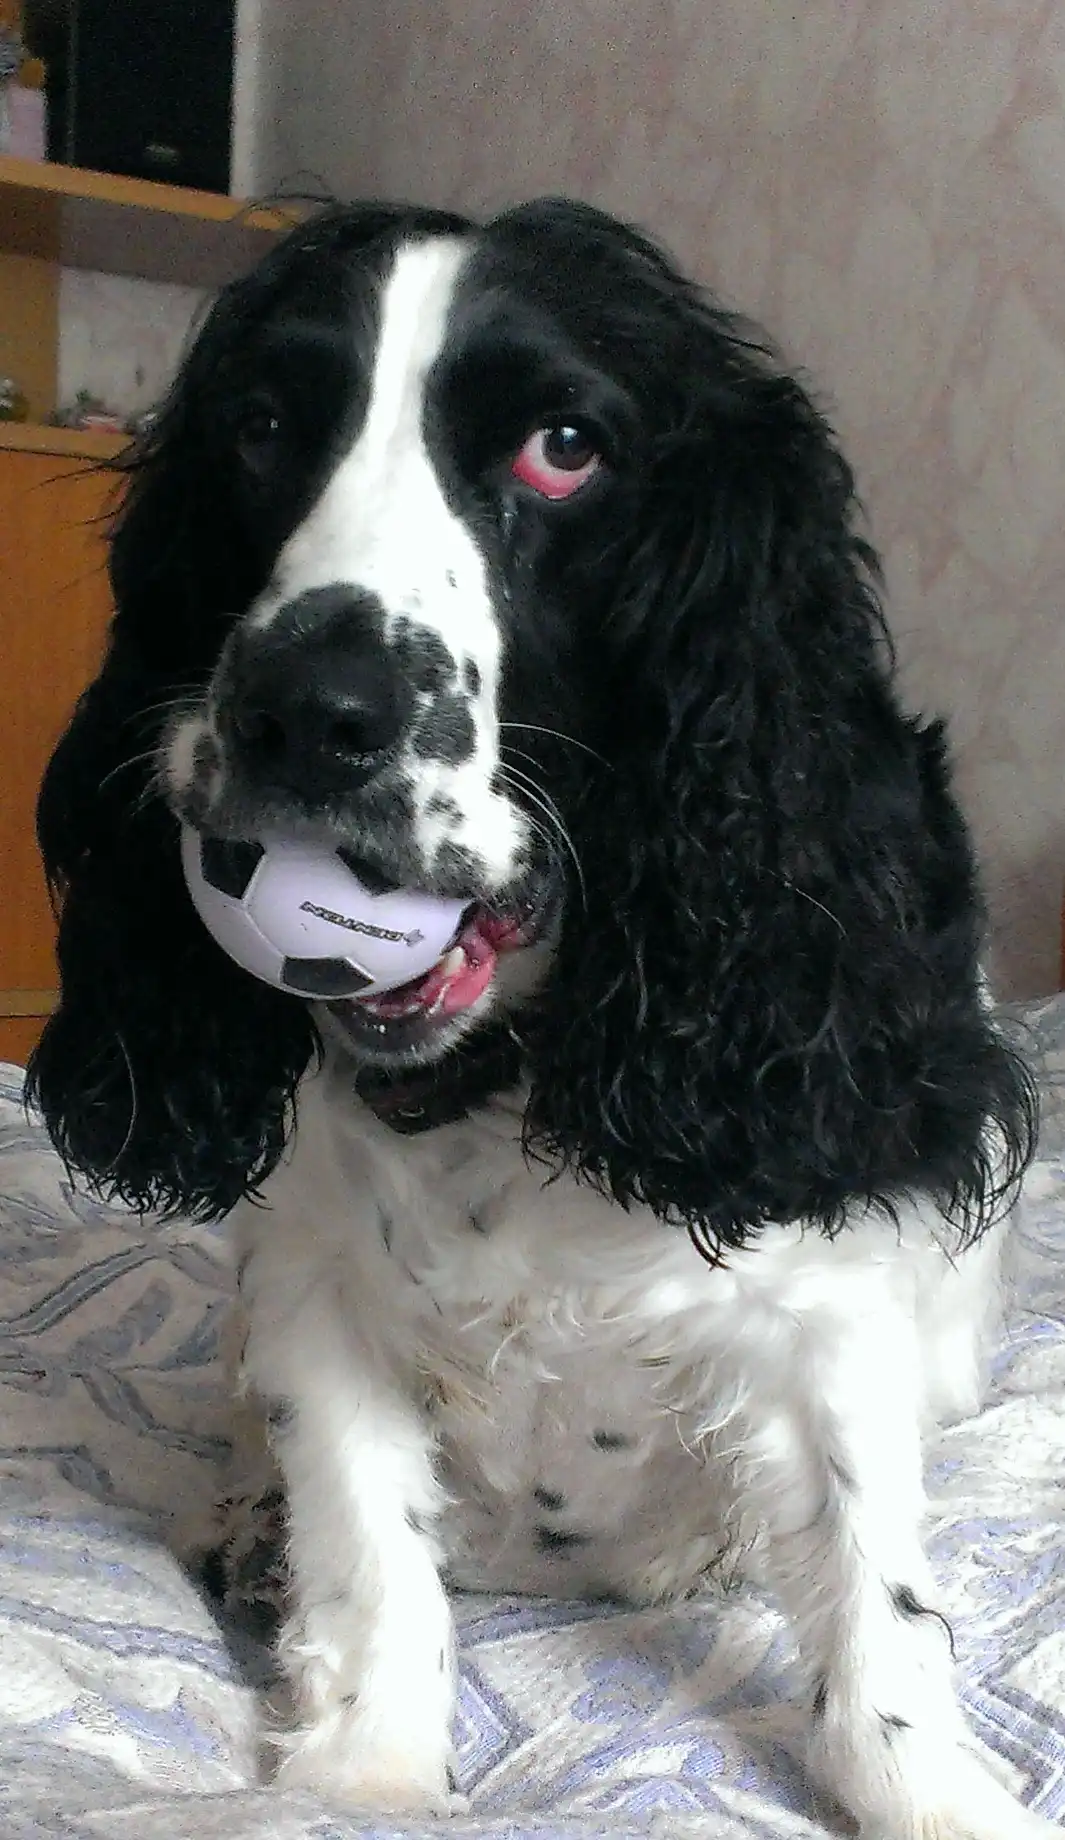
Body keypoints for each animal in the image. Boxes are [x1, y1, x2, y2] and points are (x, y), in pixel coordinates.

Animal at [29, 198, 1050, 1837]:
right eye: (260, 427)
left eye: (563, 447)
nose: (306, 711)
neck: (505, 1080)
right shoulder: (313, 1289)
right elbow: (371, 1554)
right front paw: (363, 1773)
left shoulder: (828, 1301)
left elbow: (870, 1605)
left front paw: (930, 1785)